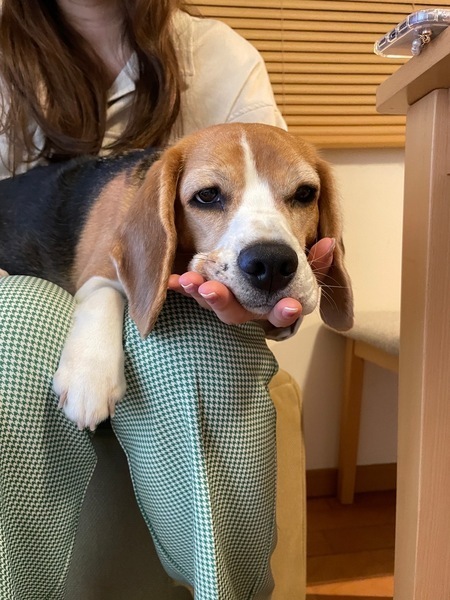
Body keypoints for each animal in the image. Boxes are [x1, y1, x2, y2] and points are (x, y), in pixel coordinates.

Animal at [0, 123, 353, 430]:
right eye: (207, 196)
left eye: (305, 194)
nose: (272, 263)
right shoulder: (98, 271)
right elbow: (106, 293)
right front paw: (90, 377)